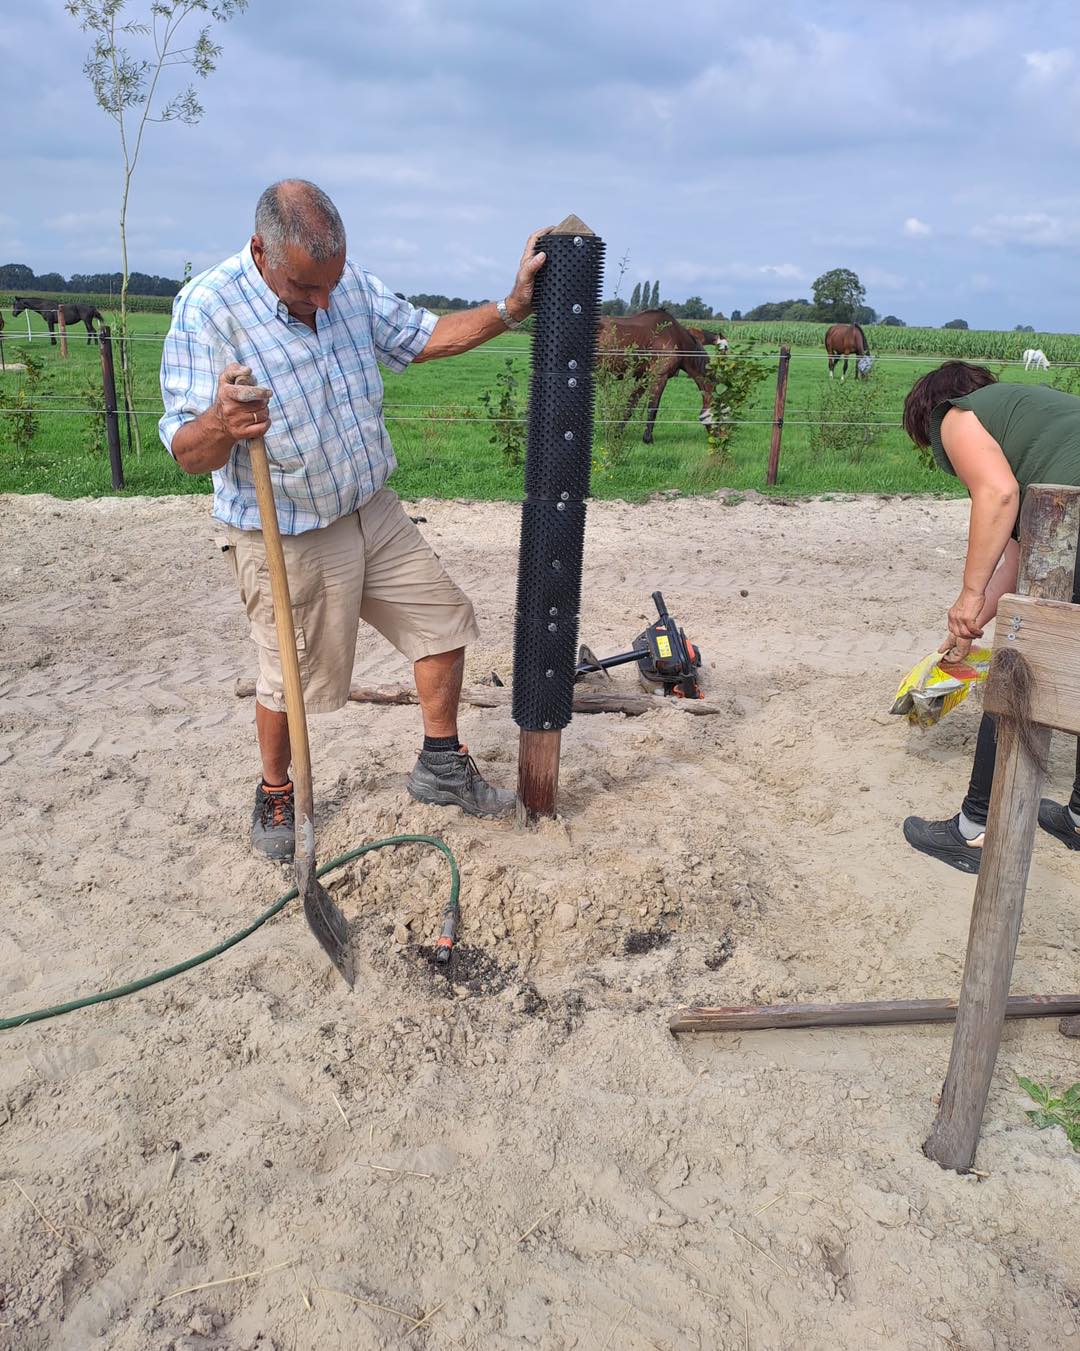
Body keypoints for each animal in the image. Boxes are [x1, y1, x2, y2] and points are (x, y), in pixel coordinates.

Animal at [600, 308, 719, 443]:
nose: (721, 437)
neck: (676, 338)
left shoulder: (644, 378)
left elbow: (630, 404)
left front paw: (617, 434)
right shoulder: (660, 377)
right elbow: (653, 407)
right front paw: (648, 439)